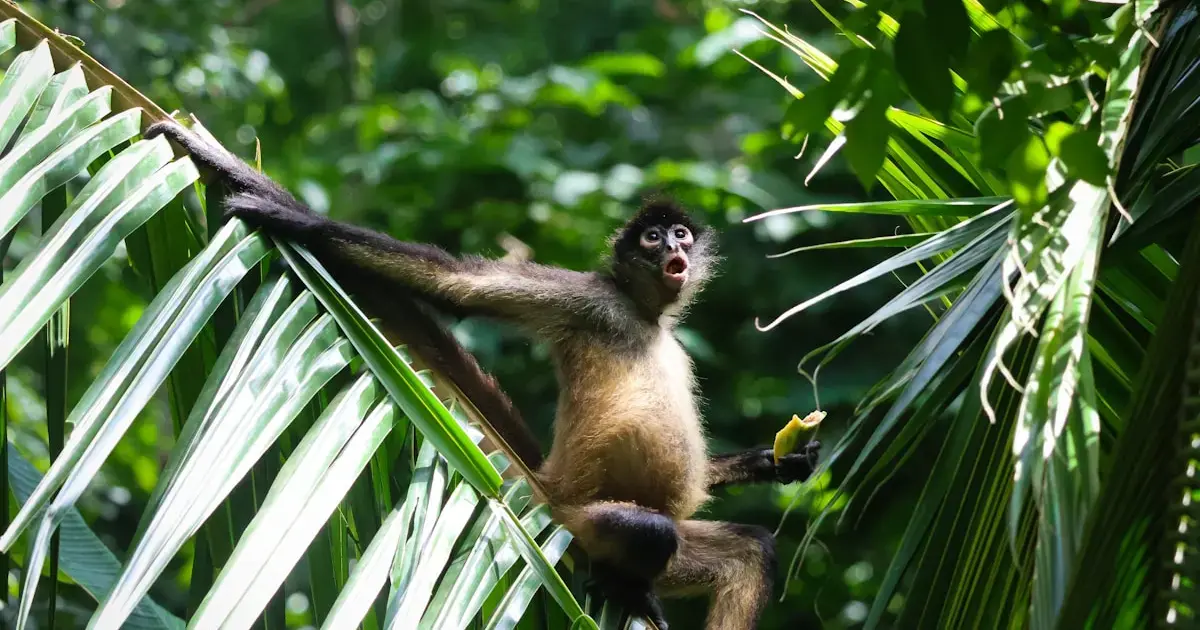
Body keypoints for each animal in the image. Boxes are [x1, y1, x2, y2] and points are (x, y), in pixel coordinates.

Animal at [144, 121, 822, 630]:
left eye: (680, 234)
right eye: (652, 237)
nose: (673, 246)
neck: (642, 315)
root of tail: (547, 486)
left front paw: (777, 460)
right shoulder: (586, 300)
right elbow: (458, 286)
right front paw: (282, 208)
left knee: (749, 551)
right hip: (582, 524)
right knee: (649, 530)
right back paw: (624, 587)